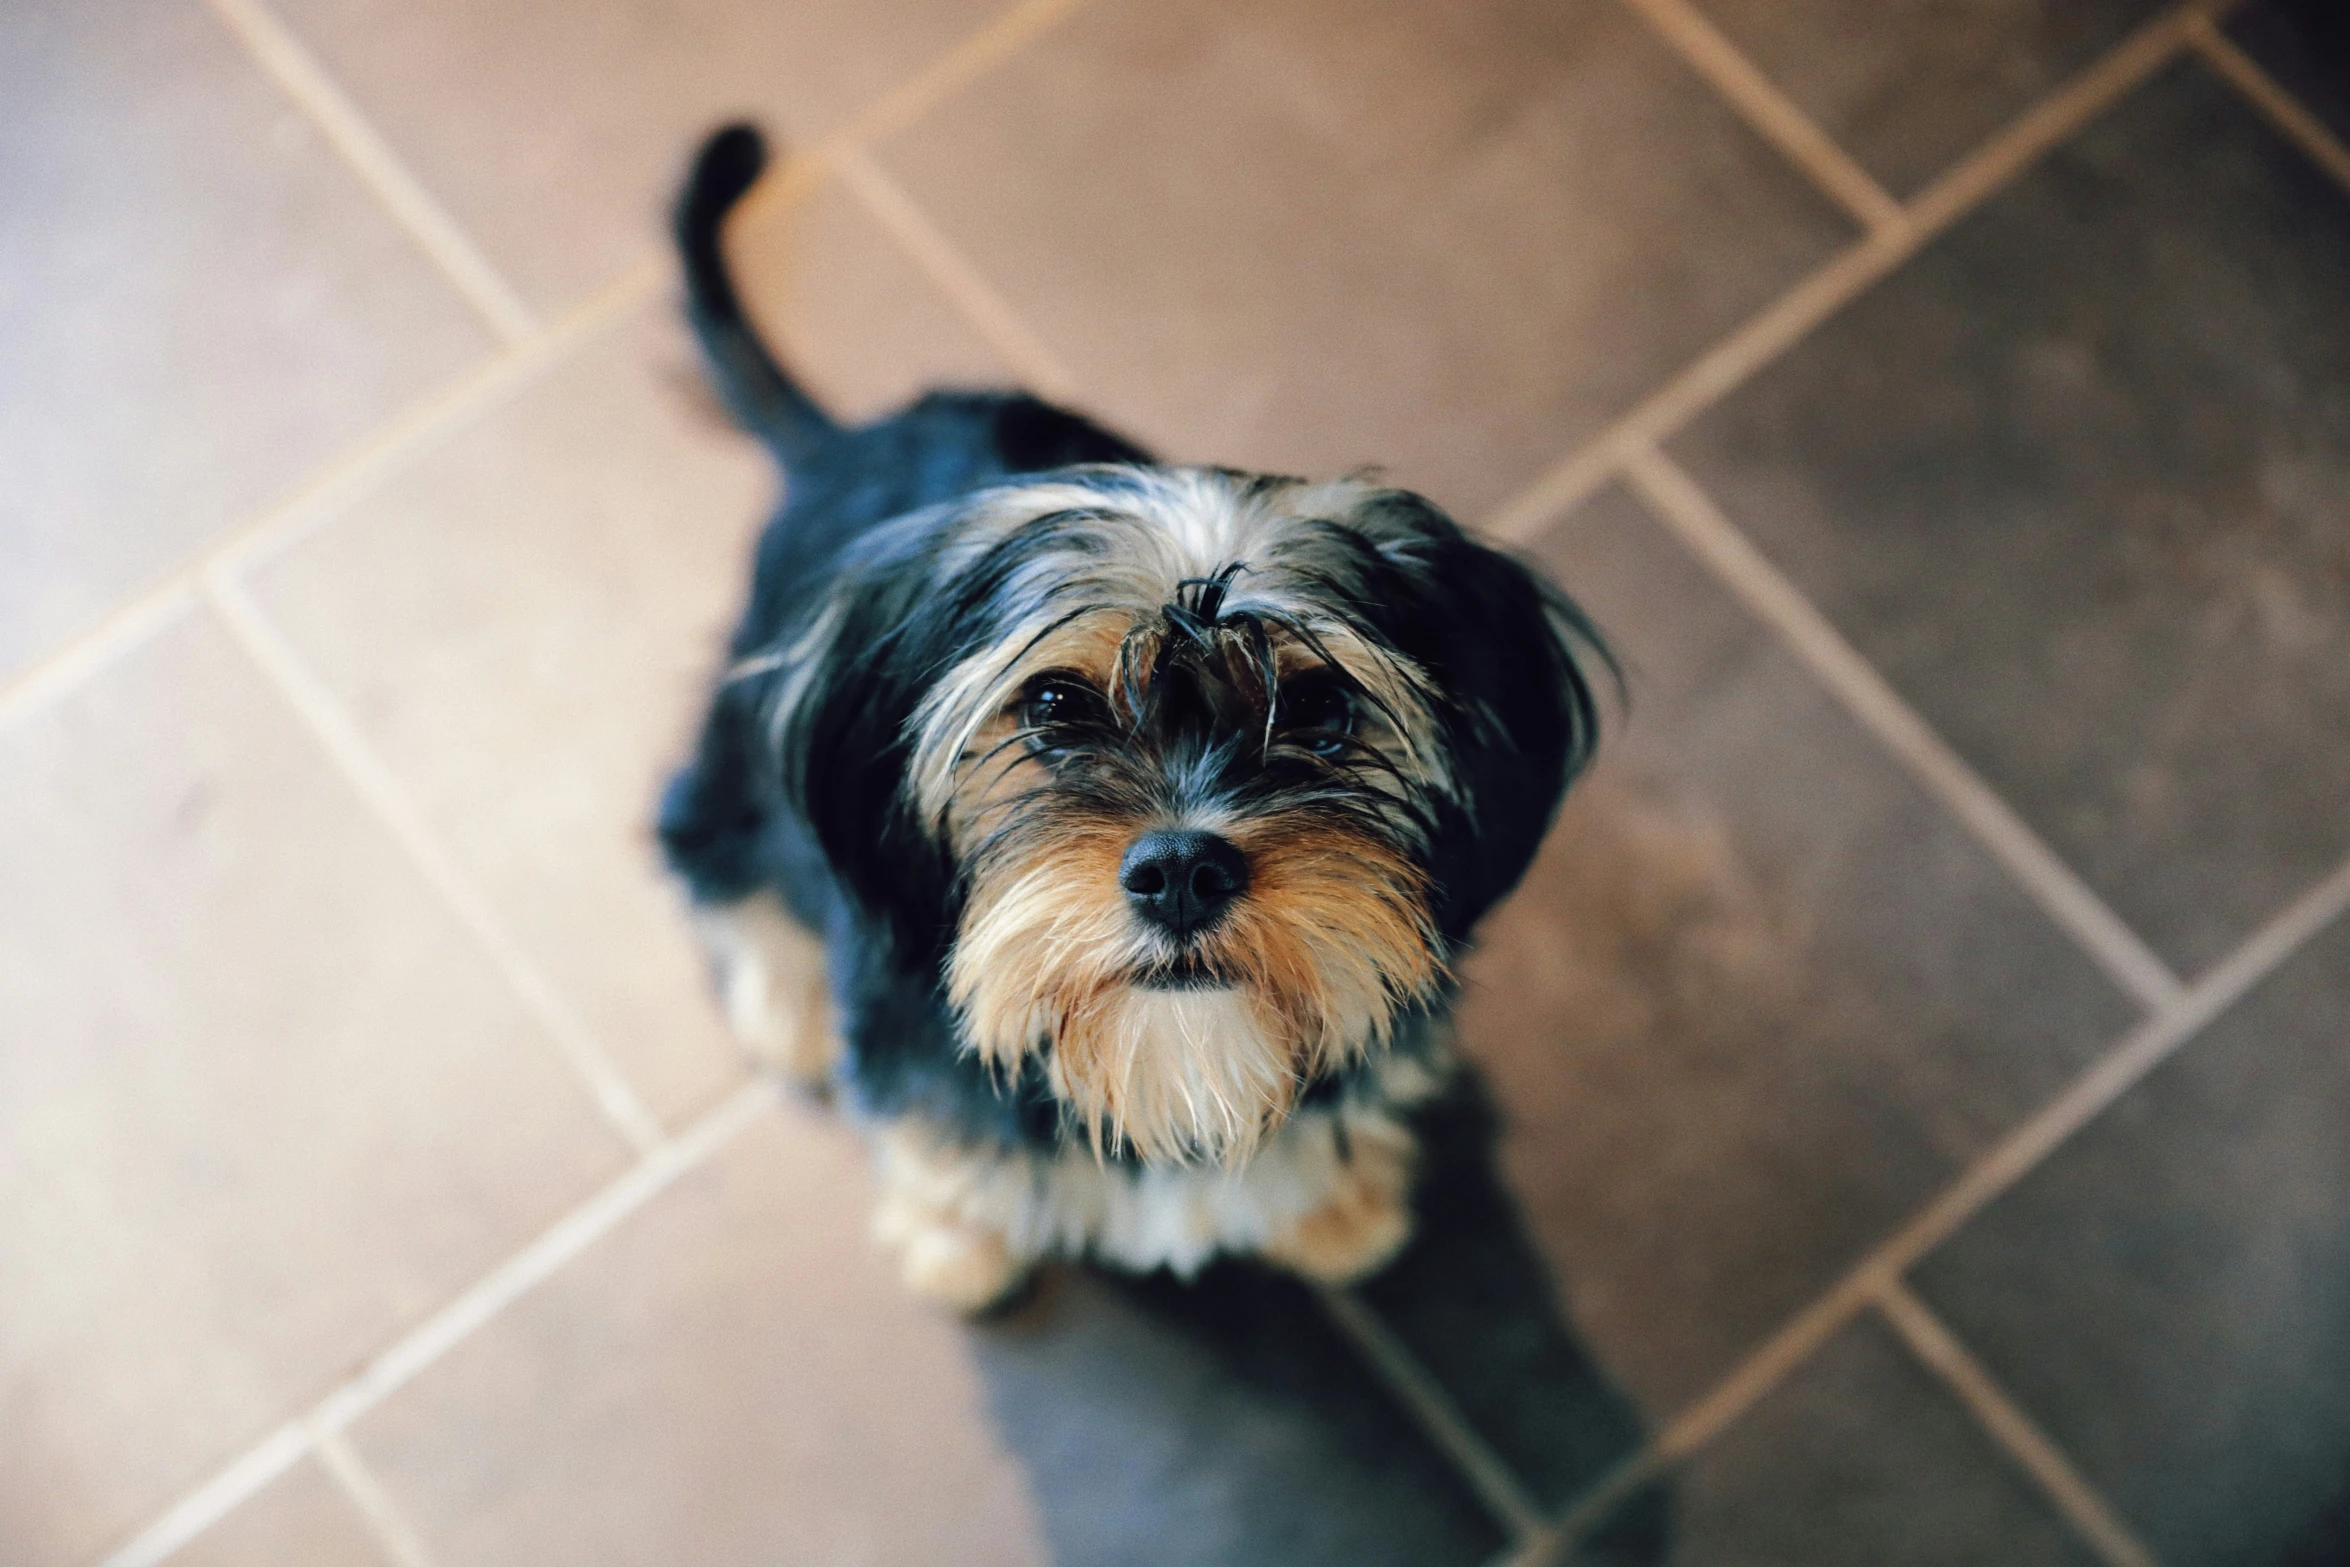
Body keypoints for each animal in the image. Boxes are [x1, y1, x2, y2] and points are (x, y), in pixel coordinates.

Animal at [662, 128, 1616, 1315]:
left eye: (1318, 706)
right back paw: (784, 1003)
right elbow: (933, 1129)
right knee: (712, 851)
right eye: (1053, 706)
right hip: (734, 755)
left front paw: (1336, 1206)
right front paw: (953, 1233)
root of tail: (844, 444)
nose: (1182, 870)